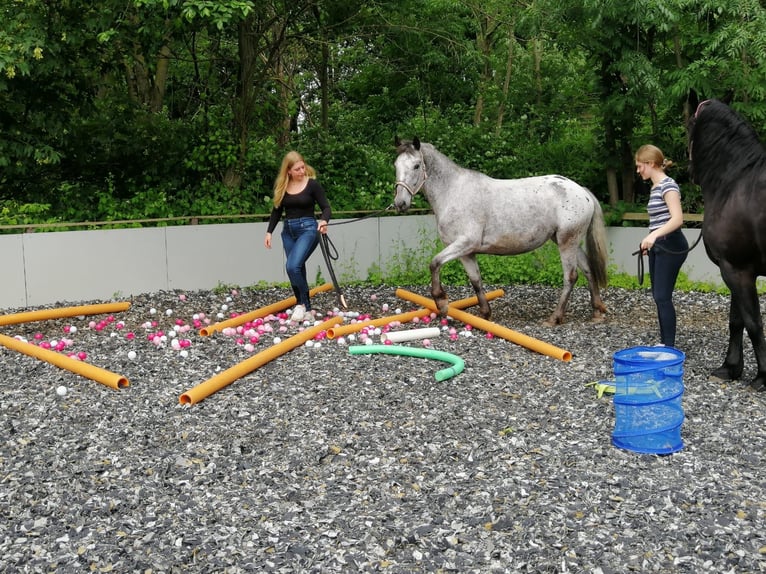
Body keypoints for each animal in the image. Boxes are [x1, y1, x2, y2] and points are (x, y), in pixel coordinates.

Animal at [688, 99, 766, 394]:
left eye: (689, 124)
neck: (735, 184)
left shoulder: (737, 270)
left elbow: (753, 323)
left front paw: (762, 377)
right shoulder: (735, 269)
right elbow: (737, 321)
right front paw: (730, 368)